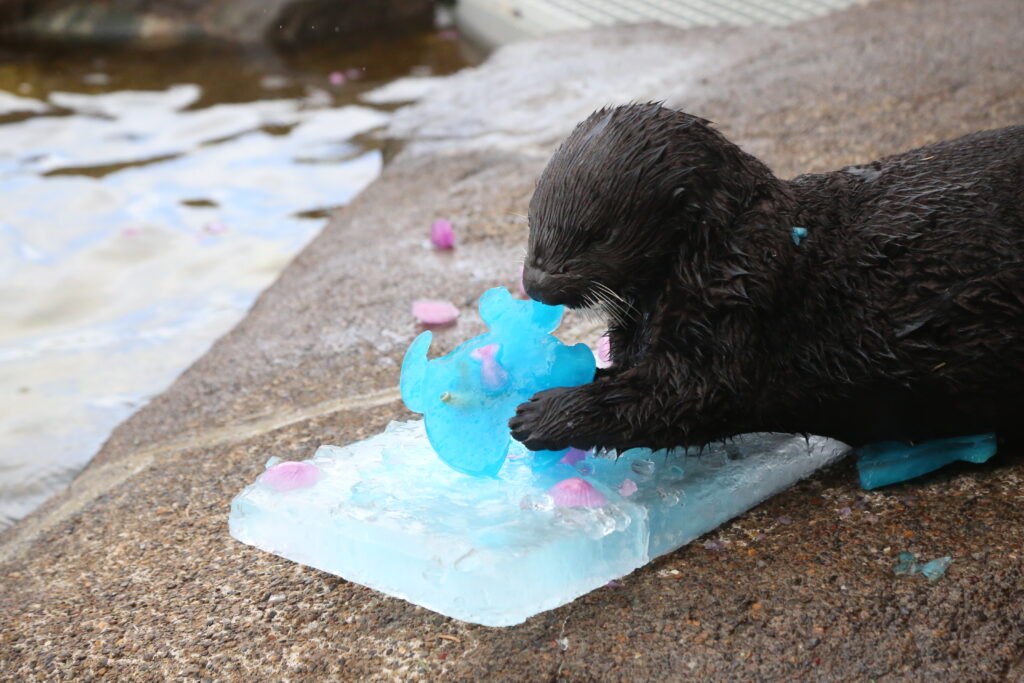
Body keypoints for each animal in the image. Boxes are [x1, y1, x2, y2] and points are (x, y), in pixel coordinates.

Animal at [509, 102, 1024, 454]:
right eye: (532, 223)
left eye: (598, 235)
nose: (537, 284)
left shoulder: (736, 309)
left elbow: (682, 396)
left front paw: (537, 415)